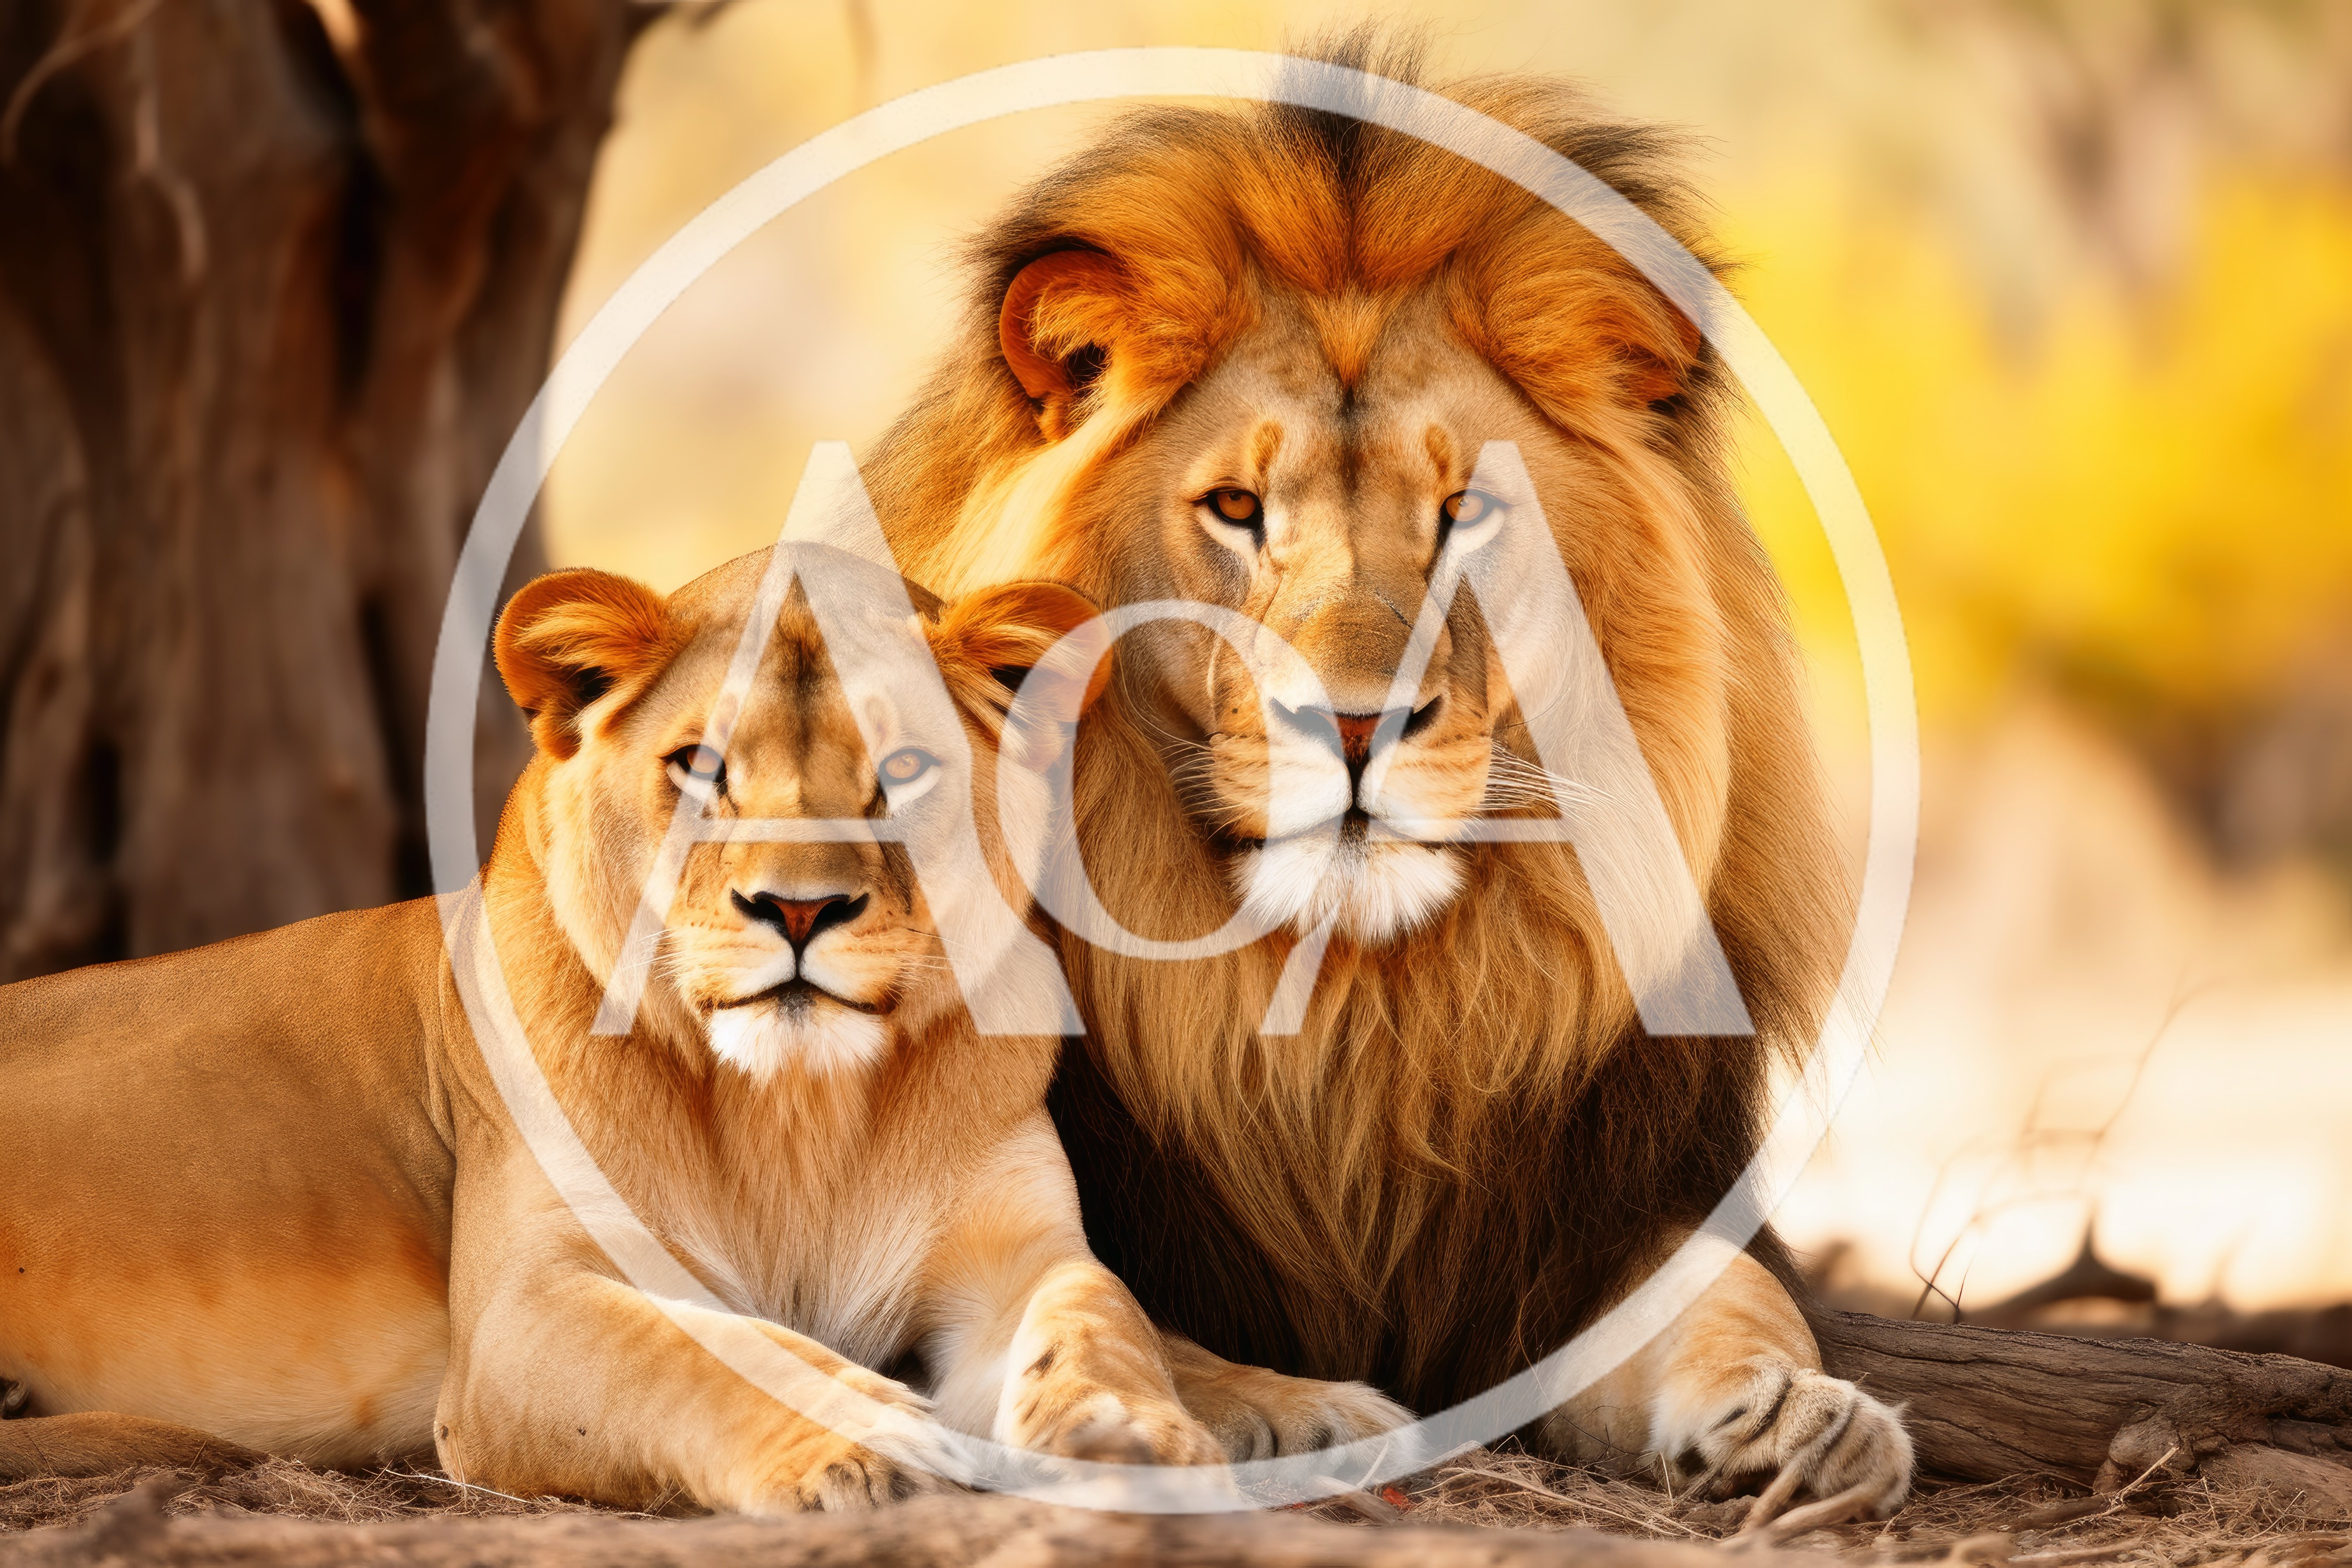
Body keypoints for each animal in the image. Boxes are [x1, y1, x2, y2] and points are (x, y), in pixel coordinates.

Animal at [0, 547, 1402, 1510]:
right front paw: (871, 1433)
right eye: (701, 767)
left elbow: (1106, 1319)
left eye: (903, 771)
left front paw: (1147, 1432)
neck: (797, 1112)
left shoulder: (1013, 1253)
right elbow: (707, 1351)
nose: (799, 906)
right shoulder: (522, 1318)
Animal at [863, 38, 1914, 1522]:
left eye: (1466, 511)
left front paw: (1805, 1413)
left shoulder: (1599, 1212)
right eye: (1237, 511)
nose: (1355, 727)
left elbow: (1736, 1296)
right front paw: (1296, 1411)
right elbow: (1123, 1314)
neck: (1351, 1020)